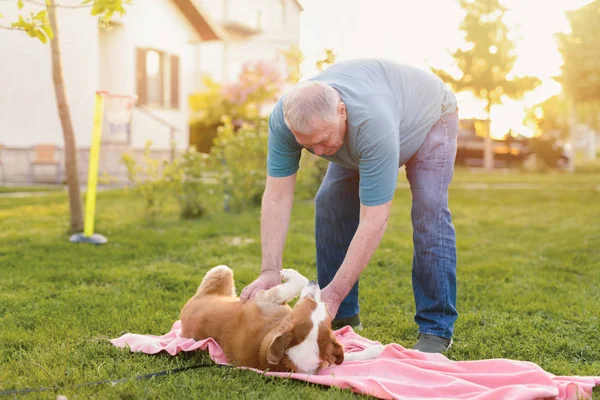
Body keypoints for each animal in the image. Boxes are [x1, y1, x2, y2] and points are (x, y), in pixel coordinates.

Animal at [179, 264, 384, 374]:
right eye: (309, 301)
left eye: (320, 304)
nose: (315, 282)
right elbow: (344, 355)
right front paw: (373, 350)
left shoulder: (263, 298)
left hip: (223, 272)